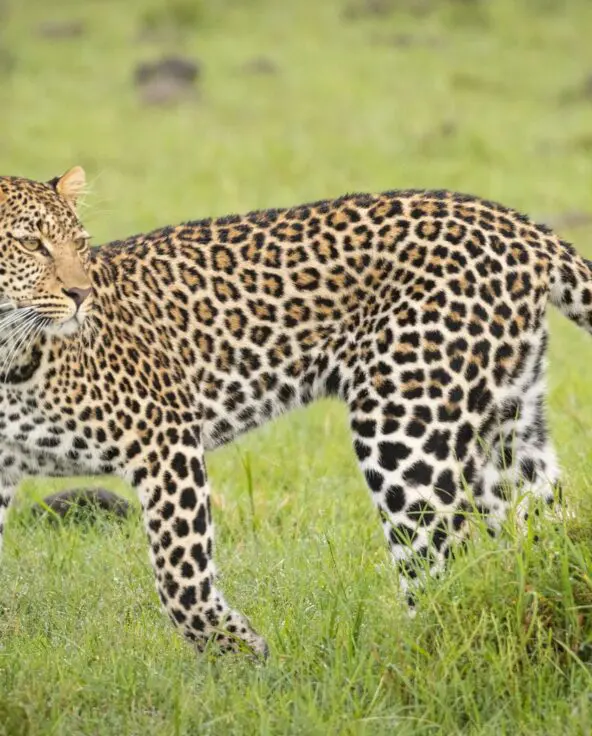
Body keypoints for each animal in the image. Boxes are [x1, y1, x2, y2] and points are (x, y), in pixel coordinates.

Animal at [0, 166, 589, 658]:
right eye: (32, 244)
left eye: (79, 244)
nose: (82, 294)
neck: (9, 358)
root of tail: (515, 223)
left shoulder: (166, 441)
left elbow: (180, 575)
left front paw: (240, 652)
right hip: (509, 430)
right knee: (549, 533)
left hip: (405, 430)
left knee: (439, 571)